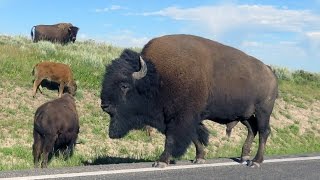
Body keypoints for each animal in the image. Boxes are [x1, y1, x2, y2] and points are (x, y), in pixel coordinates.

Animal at [100, 34, 278, 168]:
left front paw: (161, 161)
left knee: (264, 131)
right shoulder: (185, 118)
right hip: (244, 115)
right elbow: (194, 137)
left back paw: (255, 161)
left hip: (263, 111)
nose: (104, 105)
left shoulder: (180, 117)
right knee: (252, 129)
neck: (158, 77)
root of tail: (270, 71)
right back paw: (244, 157)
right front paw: (199, 158)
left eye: (124, 85)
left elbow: (172, 138)